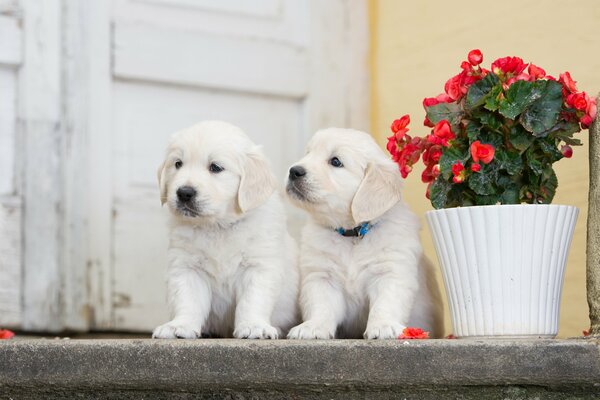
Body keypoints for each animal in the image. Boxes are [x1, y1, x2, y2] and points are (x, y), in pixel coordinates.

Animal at [152, 120, 298, 340]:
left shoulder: (259, 266)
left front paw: (253, 326)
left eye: (215, 167)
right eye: (177, 164)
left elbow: (252, 301)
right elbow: (187, 299)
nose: (184, 193)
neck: (218, 226)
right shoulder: (186, 266)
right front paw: (179, 326)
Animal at [286, 129, 446, 340]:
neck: (353, 234)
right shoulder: (321, 275)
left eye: (335, 161)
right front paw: (313, 327)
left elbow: (384, 304)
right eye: (308, 153)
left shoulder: (390, 272)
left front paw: (383, 326)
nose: (293, 171)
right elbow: (321, 305)